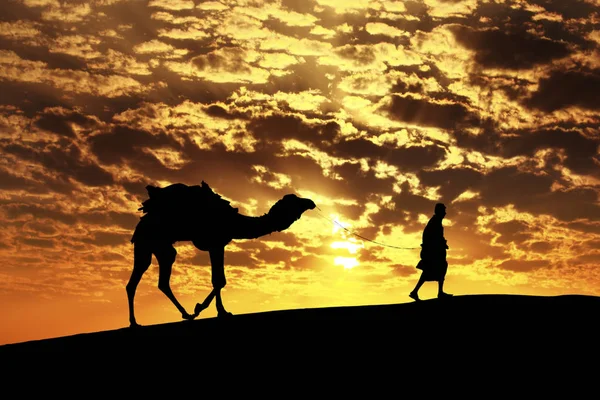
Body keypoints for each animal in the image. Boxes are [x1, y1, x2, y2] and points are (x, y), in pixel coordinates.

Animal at [125, 183, 316, 326]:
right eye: (295, 200)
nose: (311, 202)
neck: (235, 221)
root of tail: (140, 224)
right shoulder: (215, 243)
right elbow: (219, 280)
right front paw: (207, 309)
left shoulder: (219, 244)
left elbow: (220, 279)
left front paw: (217, 311)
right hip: (153, 242)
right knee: (150, 278)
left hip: (152, 246)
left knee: (146, 280)